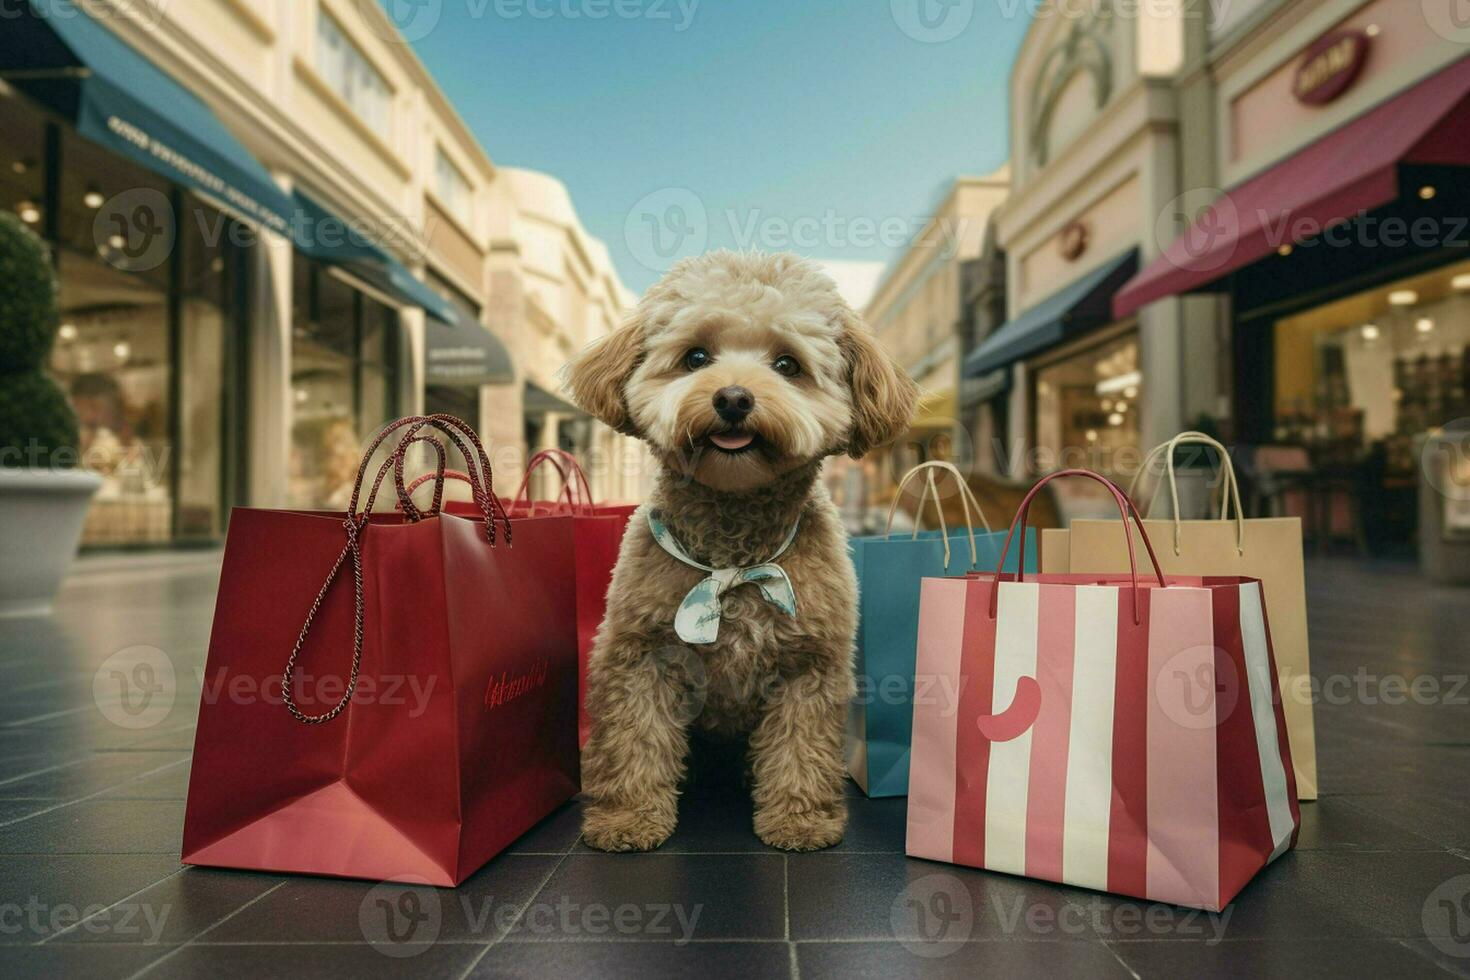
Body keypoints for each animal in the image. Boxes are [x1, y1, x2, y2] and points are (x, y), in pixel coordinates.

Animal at [564, 251, 917, 852]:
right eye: (696, 357)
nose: (732, 398)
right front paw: (627, 818)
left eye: (787, 364)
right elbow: (635, 739)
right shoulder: (638, 658)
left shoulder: (810, 667)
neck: (735, 556)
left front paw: (799, 819)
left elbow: (801, 747)